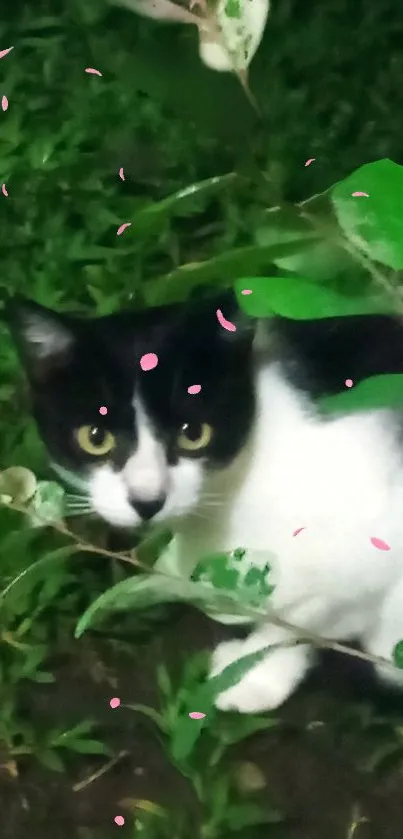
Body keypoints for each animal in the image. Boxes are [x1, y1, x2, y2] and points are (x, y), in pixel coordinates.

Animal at [6, 290, 403, 716]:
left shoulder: (374, 540)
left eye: (193, 434)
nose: (147, 500)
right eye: (95, 438)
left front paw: (251, 676)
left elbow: (303, 619)